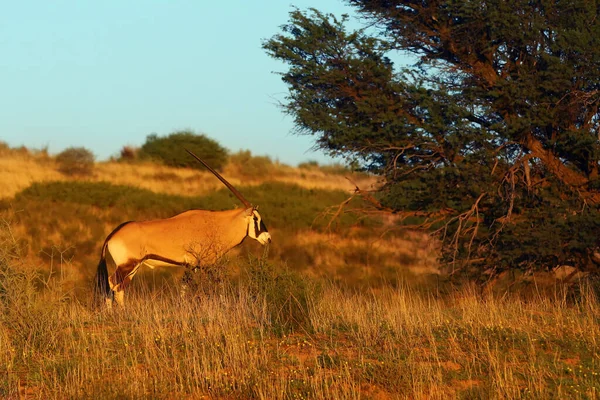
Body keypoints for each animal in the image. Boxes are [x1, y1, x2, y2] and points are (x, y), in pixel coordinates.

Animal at [95, 148, 272, 308]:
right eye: (256, 218)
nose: (268, 238)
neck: (218, 224)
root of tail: (112, 235)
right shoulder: (201, 264)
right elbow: (213, 284)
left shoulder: (194, 266)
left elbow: (188, 286)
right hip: (127, 265)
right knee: (111, 284)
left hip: (133, 268)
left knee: (120, 288)